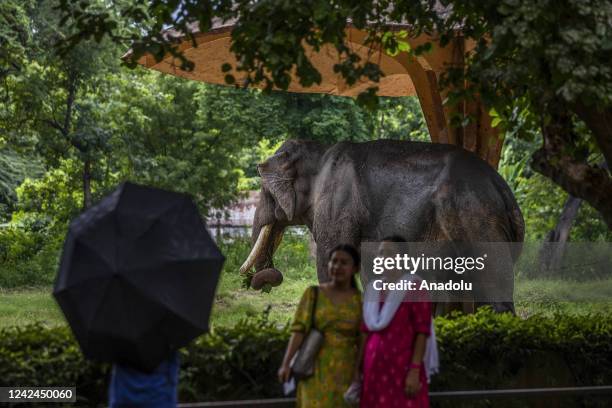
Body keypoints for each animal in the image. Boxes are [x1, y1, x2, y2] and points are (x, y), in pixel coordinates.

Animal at [241, 139, 524, 314]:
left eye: (265, 191)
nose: (265, 279)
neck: (321, 153)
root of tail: (504, 190)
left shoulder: (337, 204)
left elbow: (329, 260)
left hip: (476, 218)